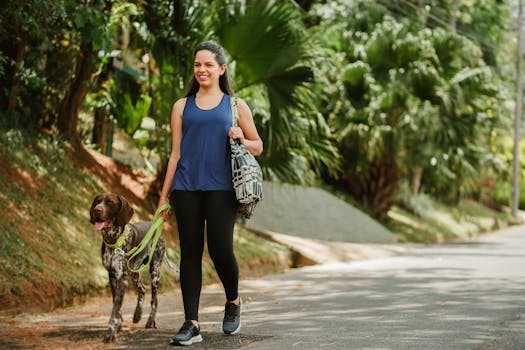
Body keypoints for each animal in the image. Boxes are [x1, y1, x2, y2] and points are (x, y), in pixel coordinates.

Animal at [89, 191, 177, 342]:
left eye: (110, 203)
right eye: (97, 202)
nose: (97, 210)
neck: (113, 239)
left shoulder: (121, 277)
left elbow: (115, 308)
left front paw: (111, 332)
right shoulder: (112, 276)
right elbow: (116, 304)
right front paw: (118, 325)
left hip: (155, 271)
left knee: (154, 299)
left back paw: (150, 321)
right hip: (134, 271)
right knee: (142, 289)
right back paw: (137, 314)